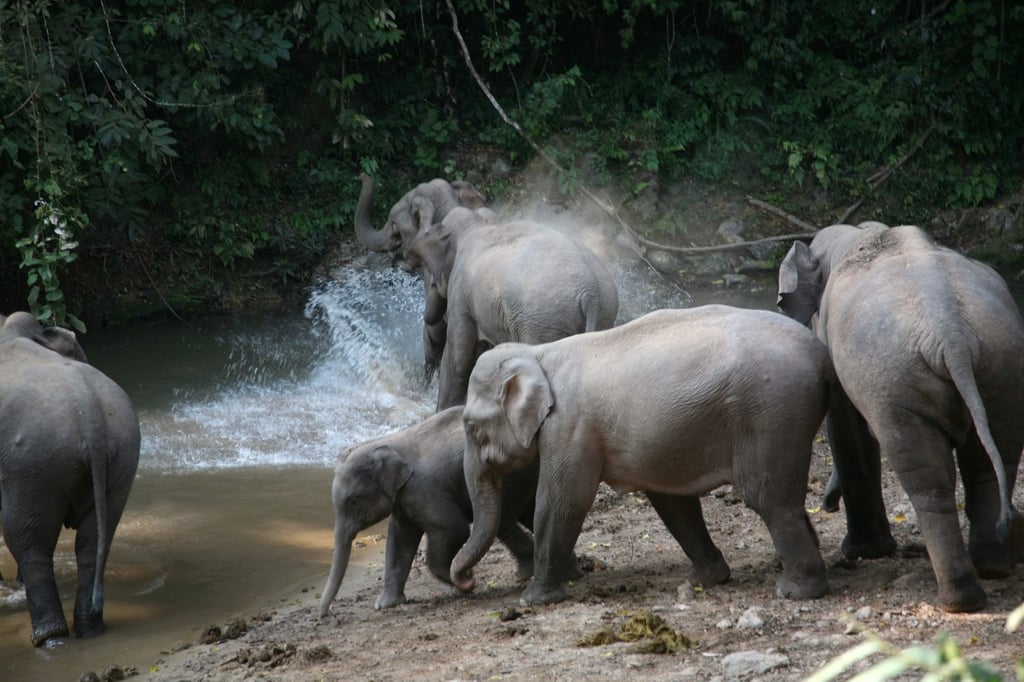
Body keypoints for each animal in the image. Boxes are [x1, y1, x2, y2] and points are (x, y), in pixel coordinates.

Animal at [0, 311, 141, 646]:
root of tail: (88, 411)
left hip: (33, 463)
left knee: (28, 542)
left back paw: (48, 638)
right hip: (122, 455)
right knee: (93, 542)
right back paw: (89, 628)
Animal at [319, 406, 540, 616]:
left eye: (353, 501)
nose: (325, 614)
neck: (386, 442)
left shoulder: (424, 489)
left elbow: (453, 529)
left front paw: (467, 580)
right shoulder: (404, 500)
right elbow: (399, 541)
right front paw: (385, 605)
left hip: (511, 475)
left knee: (504, 520)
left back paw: (524, 573)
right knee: (527, 512)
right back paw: (528, 570)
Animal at [408, 207, 620, 410]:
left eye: (427, 269)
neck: (478, 223)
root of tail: (590, 292)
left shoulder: (461, 293)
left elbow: (458, 361)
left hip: (544, 323)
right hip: (602, 316)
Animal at [450, 305, 834, 606]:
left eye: (471, 426)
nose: (467, 581)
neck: (539, 354)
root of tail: (820, 355)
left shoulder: (570, 428)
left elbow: (562, 502)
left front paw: (533, 600)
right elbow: (671, 501)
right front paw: (705, 580)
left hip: (772, 414)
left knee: (769, 499)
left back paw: (795, 591)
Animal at [777, 222, 1024, 613]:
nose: (827, 505)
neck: (857, 233)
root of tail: (952, 335)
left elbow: (845, 426)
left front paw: (864, 552)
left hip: (897, 382)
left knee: (927, 480)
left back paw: (959, 598)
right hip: (1001, 366)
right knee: (988, 463)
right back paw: (991, 567)